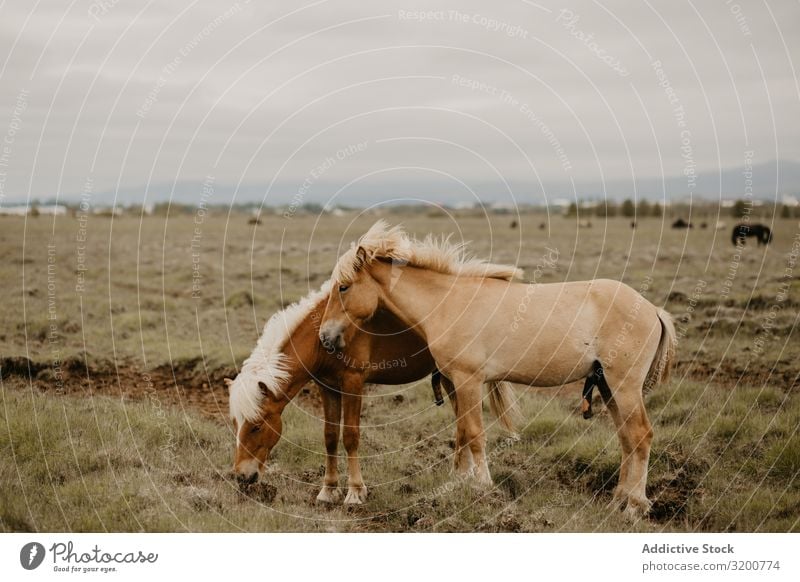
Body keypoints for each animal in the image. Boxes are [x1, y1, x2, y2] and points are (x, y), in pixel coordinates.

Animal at [228, 280, 520, 504]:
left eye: (256, 426)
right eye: (236, 424)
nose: (241, 475)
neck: (323, 334)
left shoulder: (353, 383)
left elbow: (350, 437)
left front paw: (355, 493)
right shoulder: (327, 387)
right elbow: (330, 436)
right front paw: (328, 491)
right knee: (462, 421)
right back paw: (460, 476)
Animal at [318, 221, 676, 516]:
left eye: (343, 287)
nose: (325, 336)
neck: (448, 303)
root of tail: (652, 309)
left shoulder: (468, 381)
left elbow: (475, 435)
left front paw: (483, 486)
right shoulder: (455, 383)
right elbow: (462, 432)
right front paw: (460, 482)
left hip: (624, 386)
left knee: (641, 436)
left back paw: (635, 506)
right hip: (607, 386)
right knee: (627, 439)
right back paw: (618, 500)